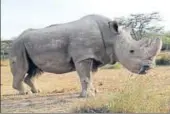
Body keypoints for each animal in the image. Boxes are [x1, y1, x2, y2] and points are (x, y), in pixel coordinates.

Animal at [9, 14, 162, 97]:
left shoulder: (93, 57)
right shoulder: (83, 57)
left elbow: (90, 77)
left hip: (28, 45)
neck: (111, 36)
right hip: (18, 46)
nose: (149, 67)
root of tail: (15, 39)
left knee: (35, 69)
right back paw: (26, 93)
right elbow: (85, 77)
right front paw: (87, 96)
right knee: (22, 69)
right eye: (131, 51)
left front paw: (94, 92)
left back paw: (37, 91)